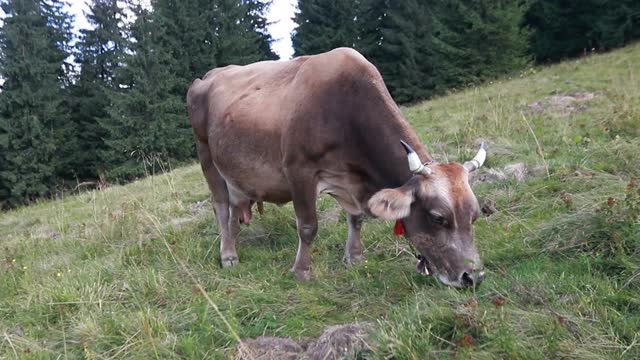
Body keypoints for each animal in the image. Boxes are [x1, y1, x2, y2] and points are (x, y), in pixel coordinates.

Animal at [188, 48, 488, 290]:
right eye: (438, 218)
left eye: (475, 215)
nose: (472, 277)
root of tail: (209, 75)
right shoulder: (298, 170)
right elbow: (308, 226)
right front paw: (301, 271)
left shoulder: (350, 179)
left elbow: (356, 218)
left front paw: (354, 257)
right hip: (206, 156)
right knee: (220, 206)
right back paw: (228, 254)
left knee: (234, 207)